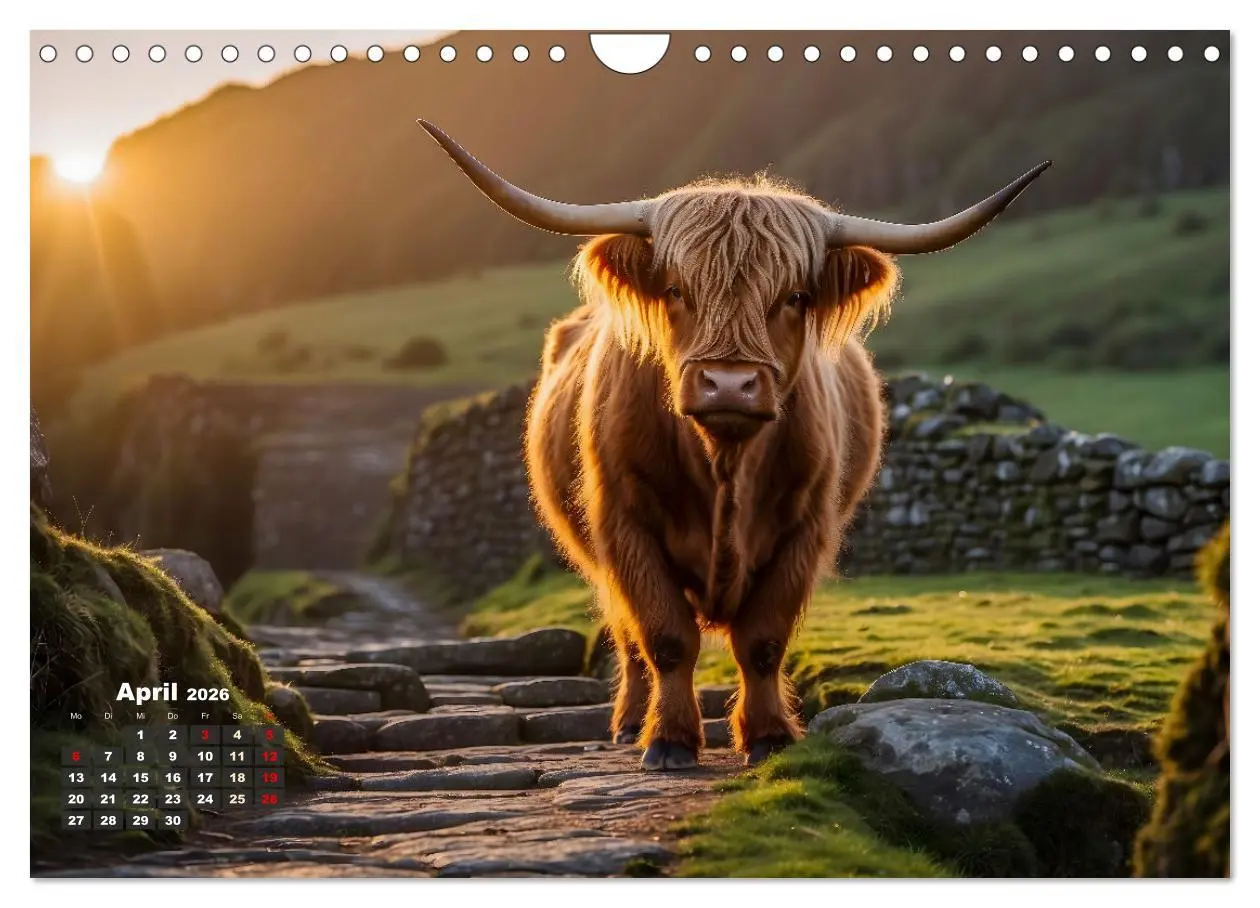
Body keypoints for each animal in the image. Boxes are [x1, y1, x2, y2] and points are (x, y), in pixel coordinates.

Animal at [417, 120, 1050, 770]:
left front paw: (768, 734)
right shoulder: (626, 525)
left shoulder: (804, 528)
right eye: (676, 289)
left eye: (795, 296)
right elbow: (666, 638)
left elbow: (763, 641)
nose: (728, 384)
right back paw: (629, 722)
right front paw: (669, 739)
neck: (724, 463)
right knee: (628, 636)